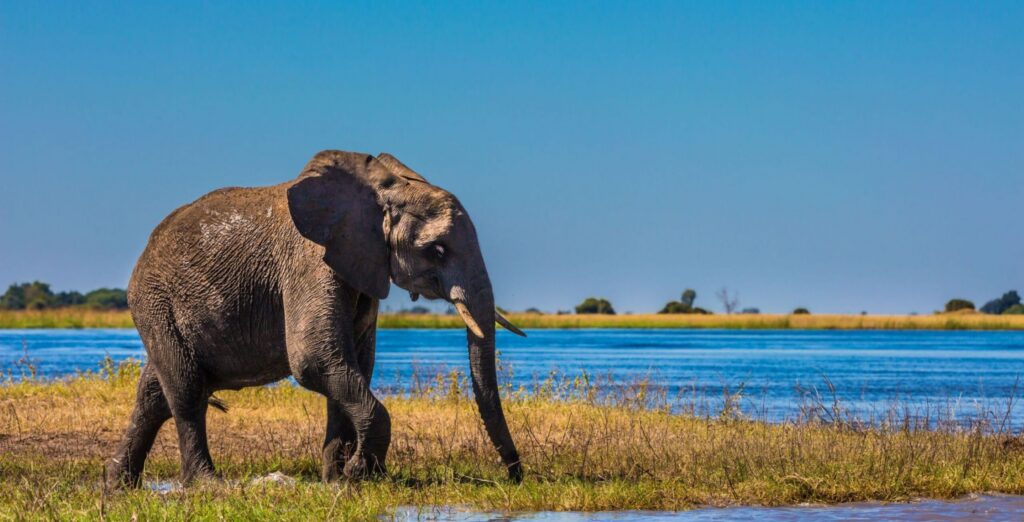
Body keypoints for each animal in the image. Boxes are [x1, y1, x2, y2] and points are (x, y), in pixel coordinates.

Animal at [106, 150, 525, 487]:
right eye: (437, 250)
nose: (516, 475)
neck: (379, 189)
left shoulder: (360, 266)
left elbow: (353, 364)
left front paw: (337, 480)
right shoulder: (308, 261)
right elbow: (315, 360)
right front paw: (359, 475)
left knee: (154, 394)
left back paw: (118, 485)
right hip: (154, 301)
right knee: (186, 390)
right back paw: (206, 485)